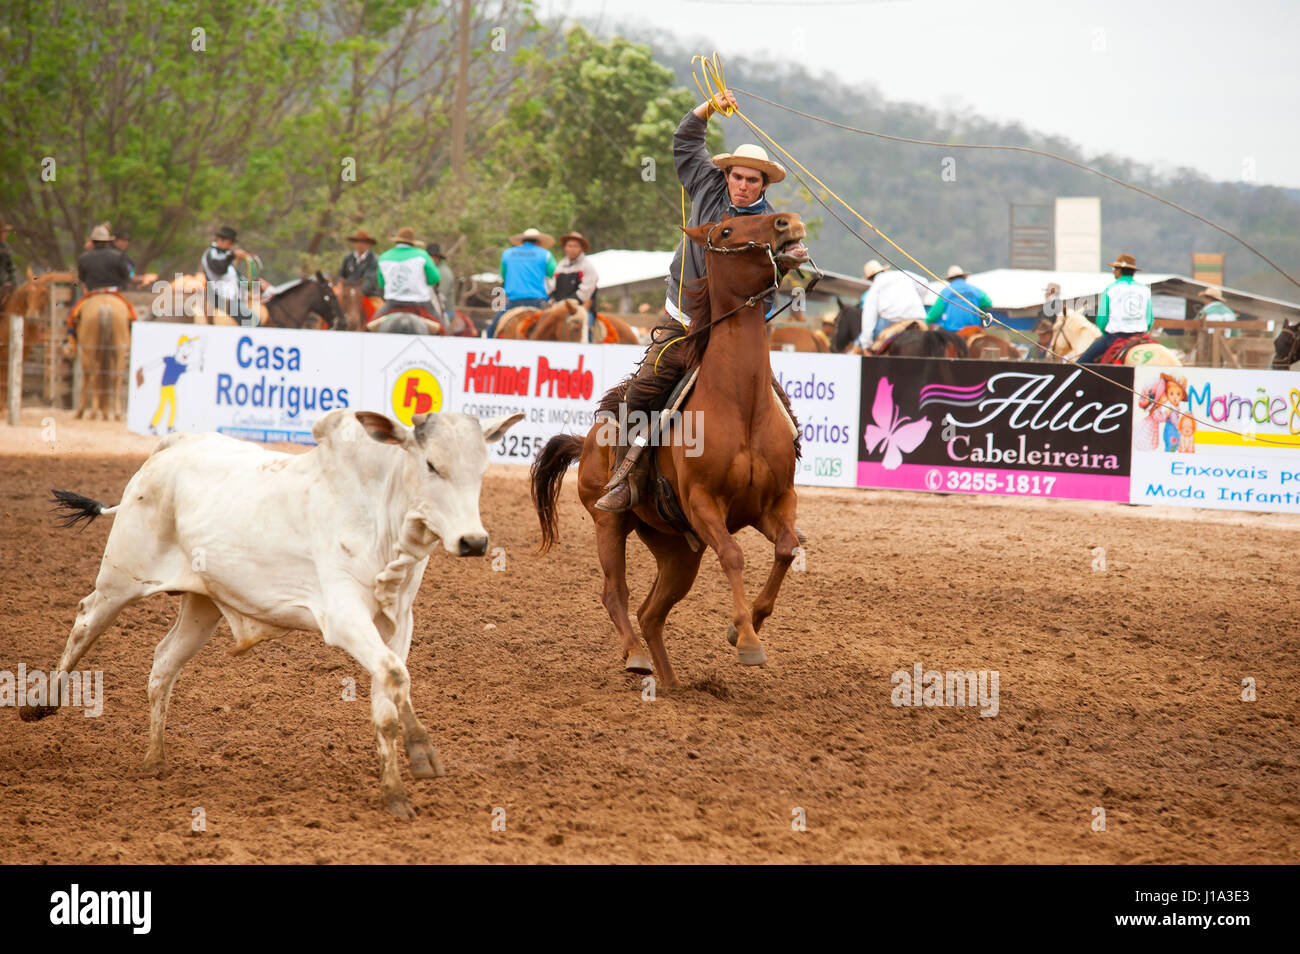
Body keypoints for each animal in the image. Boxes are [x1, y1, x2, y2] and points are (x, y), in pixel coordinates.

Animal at [24, 407, 523, 819]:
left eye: (481, 469)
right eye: (432, 465)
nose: (474, 541)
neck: (380, 517)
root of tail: (171, 447)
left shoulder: (398, 624)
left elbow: (388, 693)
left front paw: (395, 794)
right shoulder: (344, 618)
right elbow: (397, 677)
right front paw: (423, 754)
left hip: (203, 605)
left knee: (163, 662)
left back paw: (154, 760)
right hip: (120, 580)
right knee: (85, 620)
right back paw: (40, 704)